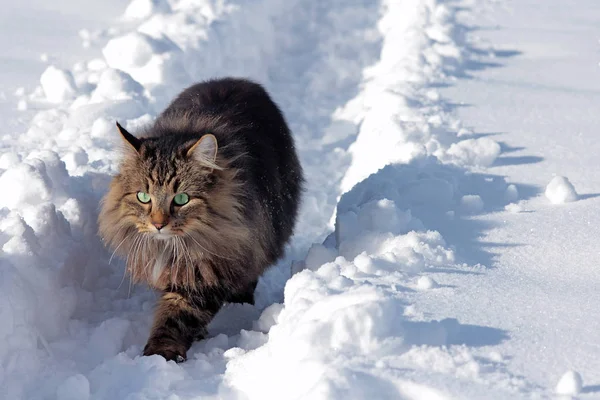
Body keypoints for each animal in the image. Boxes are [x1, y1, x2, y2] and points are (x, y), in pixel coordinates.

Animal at [101, 77, 304, 362]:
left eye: (181, 199)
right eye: (143, 196)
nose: (158, 224)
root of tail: (240, 81)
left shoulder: (210, 265)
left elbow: (178, 315)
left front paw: (161, 355)